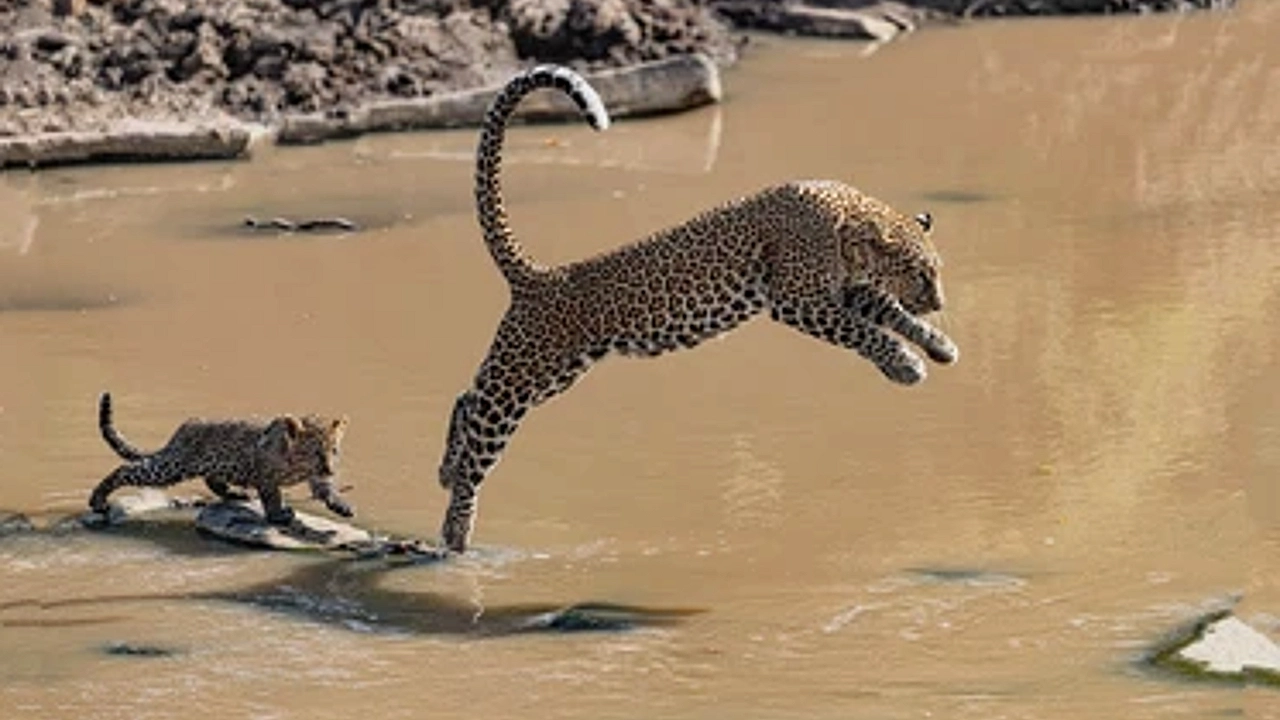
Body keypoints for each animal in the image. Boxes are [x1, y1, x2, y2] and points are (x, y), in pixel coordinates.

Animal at [89, 389, 353, 525]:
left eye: (334, 450)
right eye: (313, 452)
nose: (330, 468)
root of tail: (182, 430)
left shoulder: (316, 475)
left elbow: (325, 487)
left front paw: (341, 505)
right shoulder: (265, 474)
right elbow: (272, 496)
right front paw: (279, 515)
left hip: (211, 465)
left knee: (212, 480)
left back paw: (236, 494)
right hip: (173, 466)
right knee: (126, 470)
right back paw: (97, 500)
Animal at [435, 64, 957, 550]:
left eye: (935, 272)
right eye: (921, 273)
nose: (939, 299)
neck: (846, 222)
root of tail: (538, 276)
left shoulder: (841, 291)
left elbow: (889, 312)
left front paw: (938, 347)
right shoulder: (797, 300)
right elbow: (865, 331)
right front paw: (907, 364)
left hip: (554, 373)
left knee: (466, 398)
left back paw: (444, 474)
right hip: (523, 375)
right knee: (479, 440)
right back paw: (456, 534)